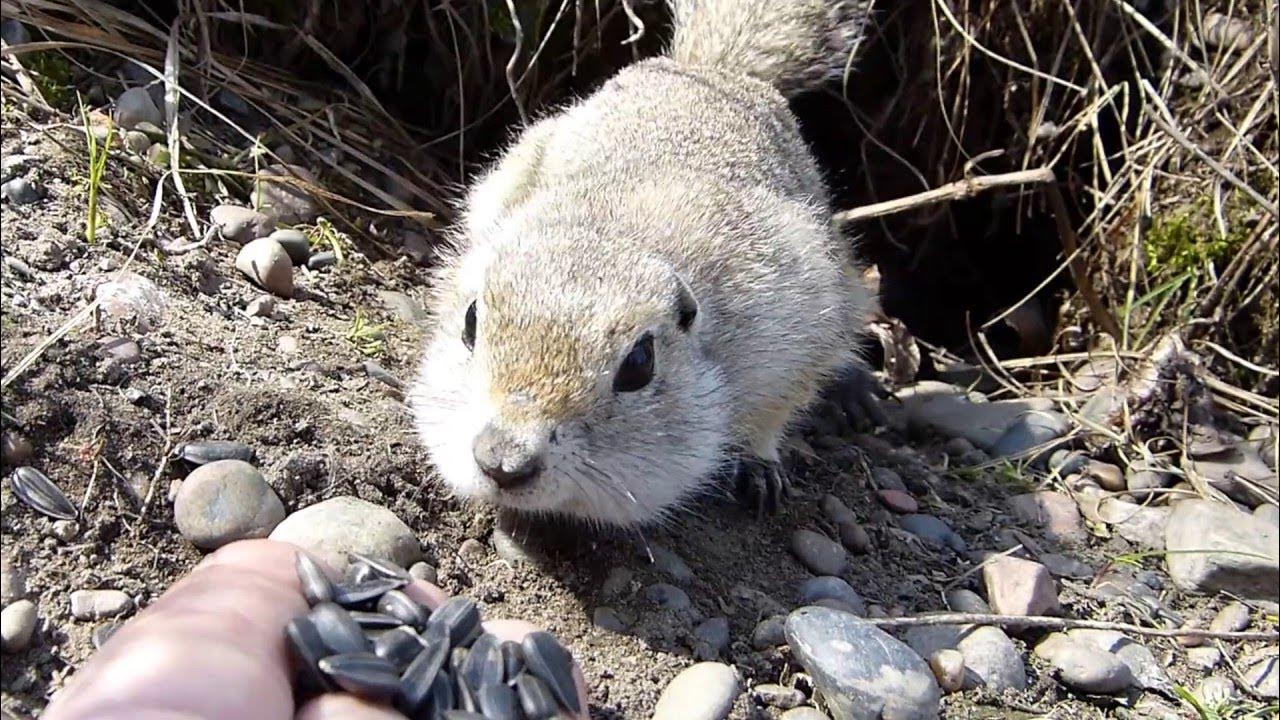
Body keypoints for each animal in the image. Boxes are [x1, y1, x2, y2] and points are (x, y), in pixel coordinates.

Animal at [409, 1, 880, 527]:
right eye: (470, 323)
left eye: (639, 364)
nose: (503, 461)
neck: (620, 239)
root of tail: (712, 69)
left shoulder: (799, 319)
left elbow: (780, 407)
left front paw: (759, 468)